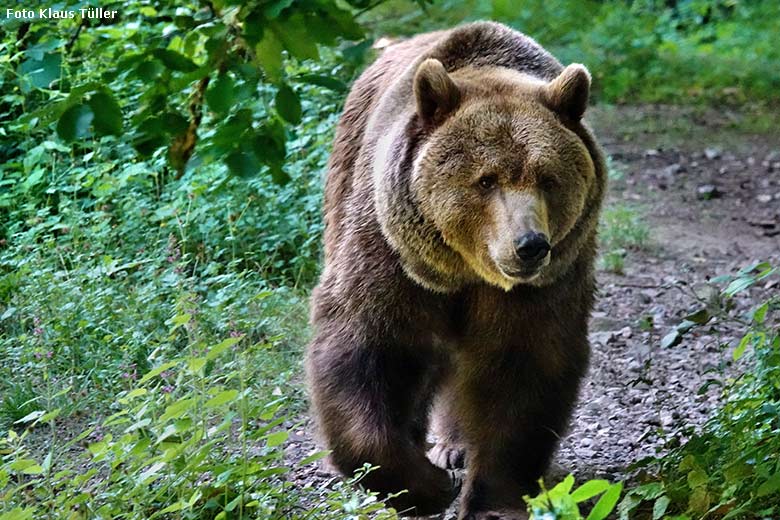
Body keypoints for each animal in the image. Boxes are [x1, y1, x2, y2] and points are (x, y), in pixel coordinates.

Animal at [306, 21, 608, 520]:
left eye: (548, 178)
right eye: (486, 180)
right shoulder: (389, 257)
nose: (530, 245)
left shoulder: (545, 285)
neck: (466, 270)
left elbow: (522, 365)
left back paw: (455, 445)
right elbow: (365, 344)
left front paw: (494, 500)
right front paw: (423, 485)